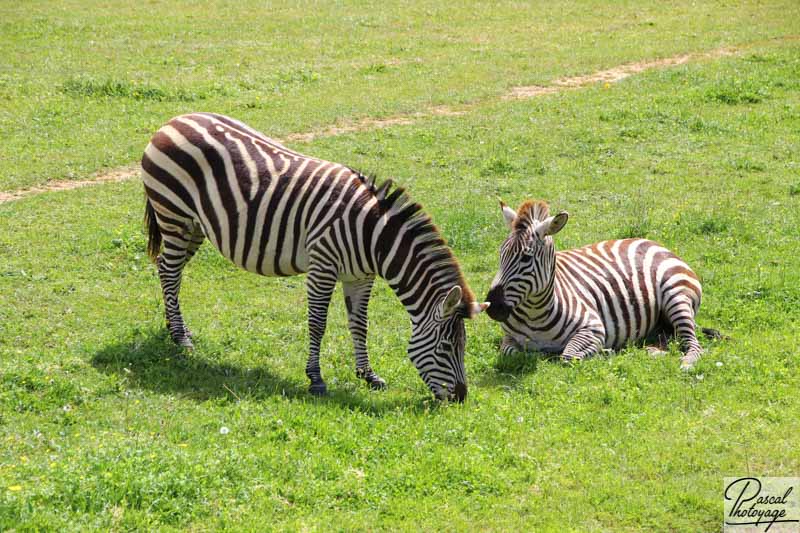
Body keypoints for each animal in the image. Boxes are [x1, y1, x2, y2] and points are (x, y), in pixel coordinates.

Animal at [141, 113, 488, 404]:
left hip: (195, 226)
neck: (374, 238)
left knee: (169, 271)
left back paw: (177, 330)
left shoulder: (361, 276)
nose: (461, 398)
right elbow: (318, 323)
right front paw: (316, 379)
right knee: (170, 271)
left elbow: (359, 324)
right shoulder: (323, 267)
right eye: (447, 347)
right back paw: (180, 338)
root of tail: (175, 120)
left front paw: (367, 375)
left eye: (463, 346)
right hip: (174, 216)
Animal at [484, 197, 704, 368]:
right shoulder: (508, 339)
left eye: (526, 258)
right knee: (669, 336)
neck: (534, 315)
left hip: (676, 294)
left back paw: (686, 362)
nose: (493, 307)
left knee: (694, 344)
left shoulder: (593, 328)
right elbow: (514, 353)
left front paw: (605, 352)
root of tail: (653, 242)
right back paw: (654, 350)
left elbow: (568, 356)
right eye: (501, 254)